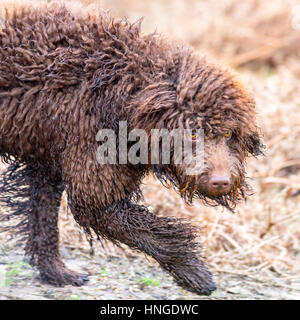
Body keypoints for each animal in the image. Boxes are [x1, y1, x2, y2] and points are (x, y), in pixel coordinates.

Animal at [0, 1, 262, 296]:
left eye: (229, 133)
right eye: (193, 134)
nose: (221, 181)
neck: (124, 91)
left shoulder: (46, 163)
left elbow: (43, 221)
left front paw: (55, 272)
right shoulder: (94, 184)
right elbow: (150, 231)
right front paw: (193, 271)